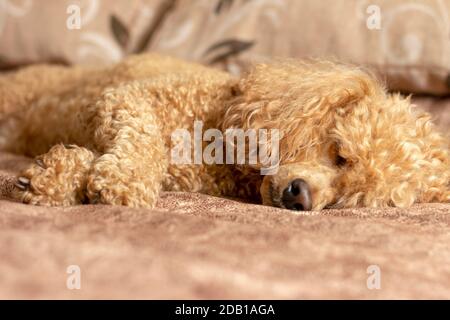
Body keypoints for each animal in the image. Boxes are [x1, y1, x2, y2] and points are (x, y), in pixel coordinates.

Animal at [0, 53, 448, 210]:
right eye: (340, 153)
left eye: (346, 200)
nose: (299, 198)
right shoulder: (128, 99)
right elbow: (144, 141)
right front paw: (122, 182)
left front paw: (51, 178)